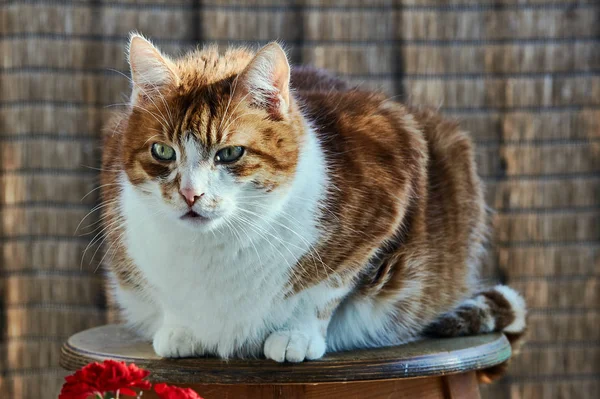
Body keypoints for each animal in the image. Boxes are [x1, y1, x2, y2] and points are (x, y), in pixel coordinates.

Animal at [101, 33, 528, 376]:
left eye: (230, 153)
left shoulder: (390, 182)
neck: (216, 246)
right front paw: (181, 328)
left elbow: (325, 287)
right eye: (162, 151)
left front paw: (296, 334)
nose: (191, 194)